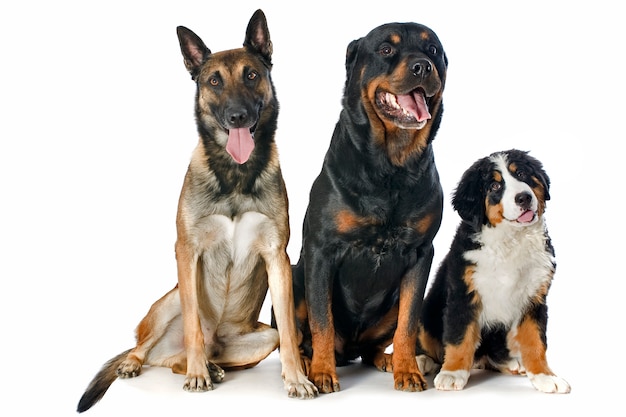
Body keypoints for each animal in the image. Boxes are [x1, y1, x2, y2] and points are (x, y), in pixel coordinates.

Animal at [290, 19, 446, 392]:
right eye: (386, 49)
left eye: (432, 49)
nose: (423, 66)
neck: (392, 168)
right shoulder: (321, 249)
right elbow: (321, 319)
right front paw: (322, 372)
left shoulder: (421, 252)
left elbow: (408, 322)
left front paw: (408, 370)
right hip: (294, 280)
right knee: (302, 333)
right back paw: (306, 362)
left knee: (375, 343)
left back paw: (386, 360)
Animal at [416, 149, 568, 394]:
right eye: (495, 186)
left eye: (522, 174)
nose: (524, 198)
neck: (510, 240)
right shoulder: (463, 294)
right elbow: (459, 336)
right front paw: (452, 373)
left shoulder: (534, 299)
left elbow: (536, 341)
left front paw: (545, 376)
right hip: (427, 310)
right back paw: (422, 360)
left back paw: (513, 364)